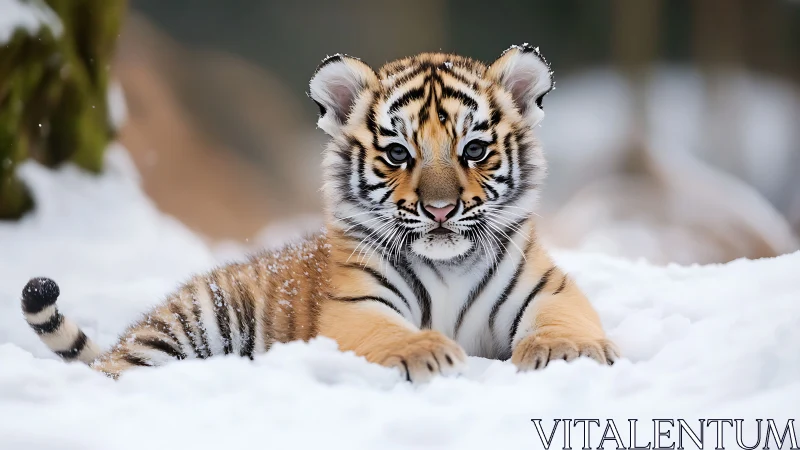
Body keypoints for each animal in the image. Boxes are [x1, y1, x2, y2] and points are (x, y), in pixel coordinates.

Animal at [21, 44, 619, 382]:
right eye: (398, 154)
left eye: (473, 150)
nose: (441, 209)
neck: (448, 264)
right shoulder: (355, 308)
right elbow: (390, 334)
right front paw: (429, 353)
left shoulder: (549, 290)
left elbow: (563, 320)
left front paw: (566, 353)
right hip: (196, 317)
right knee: (120, 371)